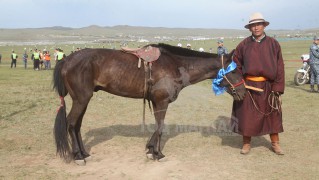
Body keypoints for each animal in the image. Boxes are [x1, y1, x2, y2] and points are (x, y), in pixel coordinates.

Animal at [53, 43, 246, 165]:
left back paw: (84, 153)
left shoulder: (156, 101)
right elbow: (160, 128)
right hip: (81, 99)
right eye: (234, 71)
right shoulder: (161, 101)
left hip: (83, 100)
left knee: (77, 125)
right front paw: (158, 154)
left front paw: (150, 149)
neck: (175, 65)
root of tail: (67, 60)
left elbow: (157, 127)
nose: (244, 92)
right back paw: (78, 156)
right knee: (71, 124)